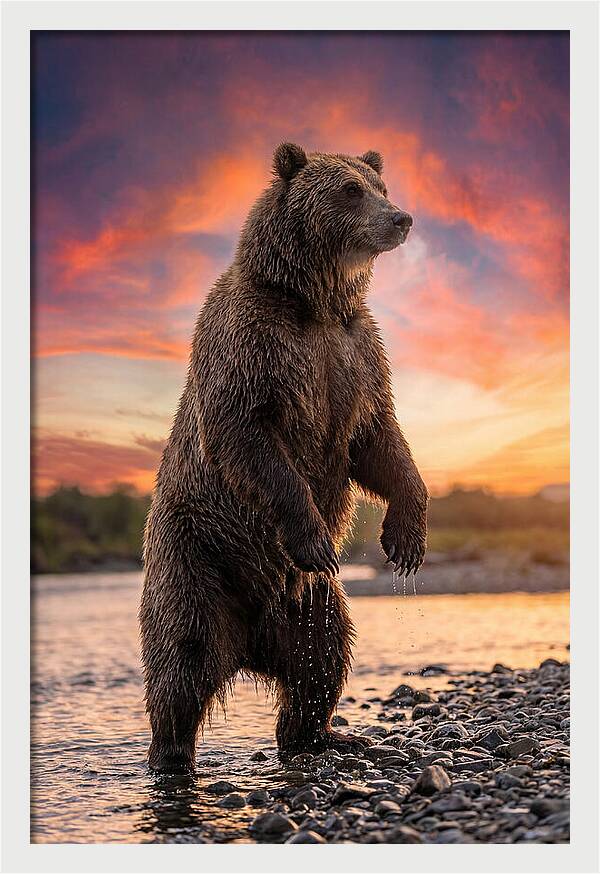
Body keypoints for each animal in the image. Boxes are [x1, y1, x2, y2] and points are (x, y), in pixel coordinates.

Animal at [139, 143, 428, 773]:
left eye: (381, 185)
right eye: (349, 190)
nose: (401, 219)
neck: (314, 302)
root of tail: (249, 643)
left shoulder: (356, 354)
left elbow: (378, 440)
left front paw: (405, 539)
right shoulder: (255, 345)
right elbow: (249, 437)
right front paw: (316, 537)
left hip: (309, 603)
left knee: (323, 655)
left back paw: (323, 735)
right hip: (197, 557)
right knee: (183, 658)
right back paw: (171, 756)